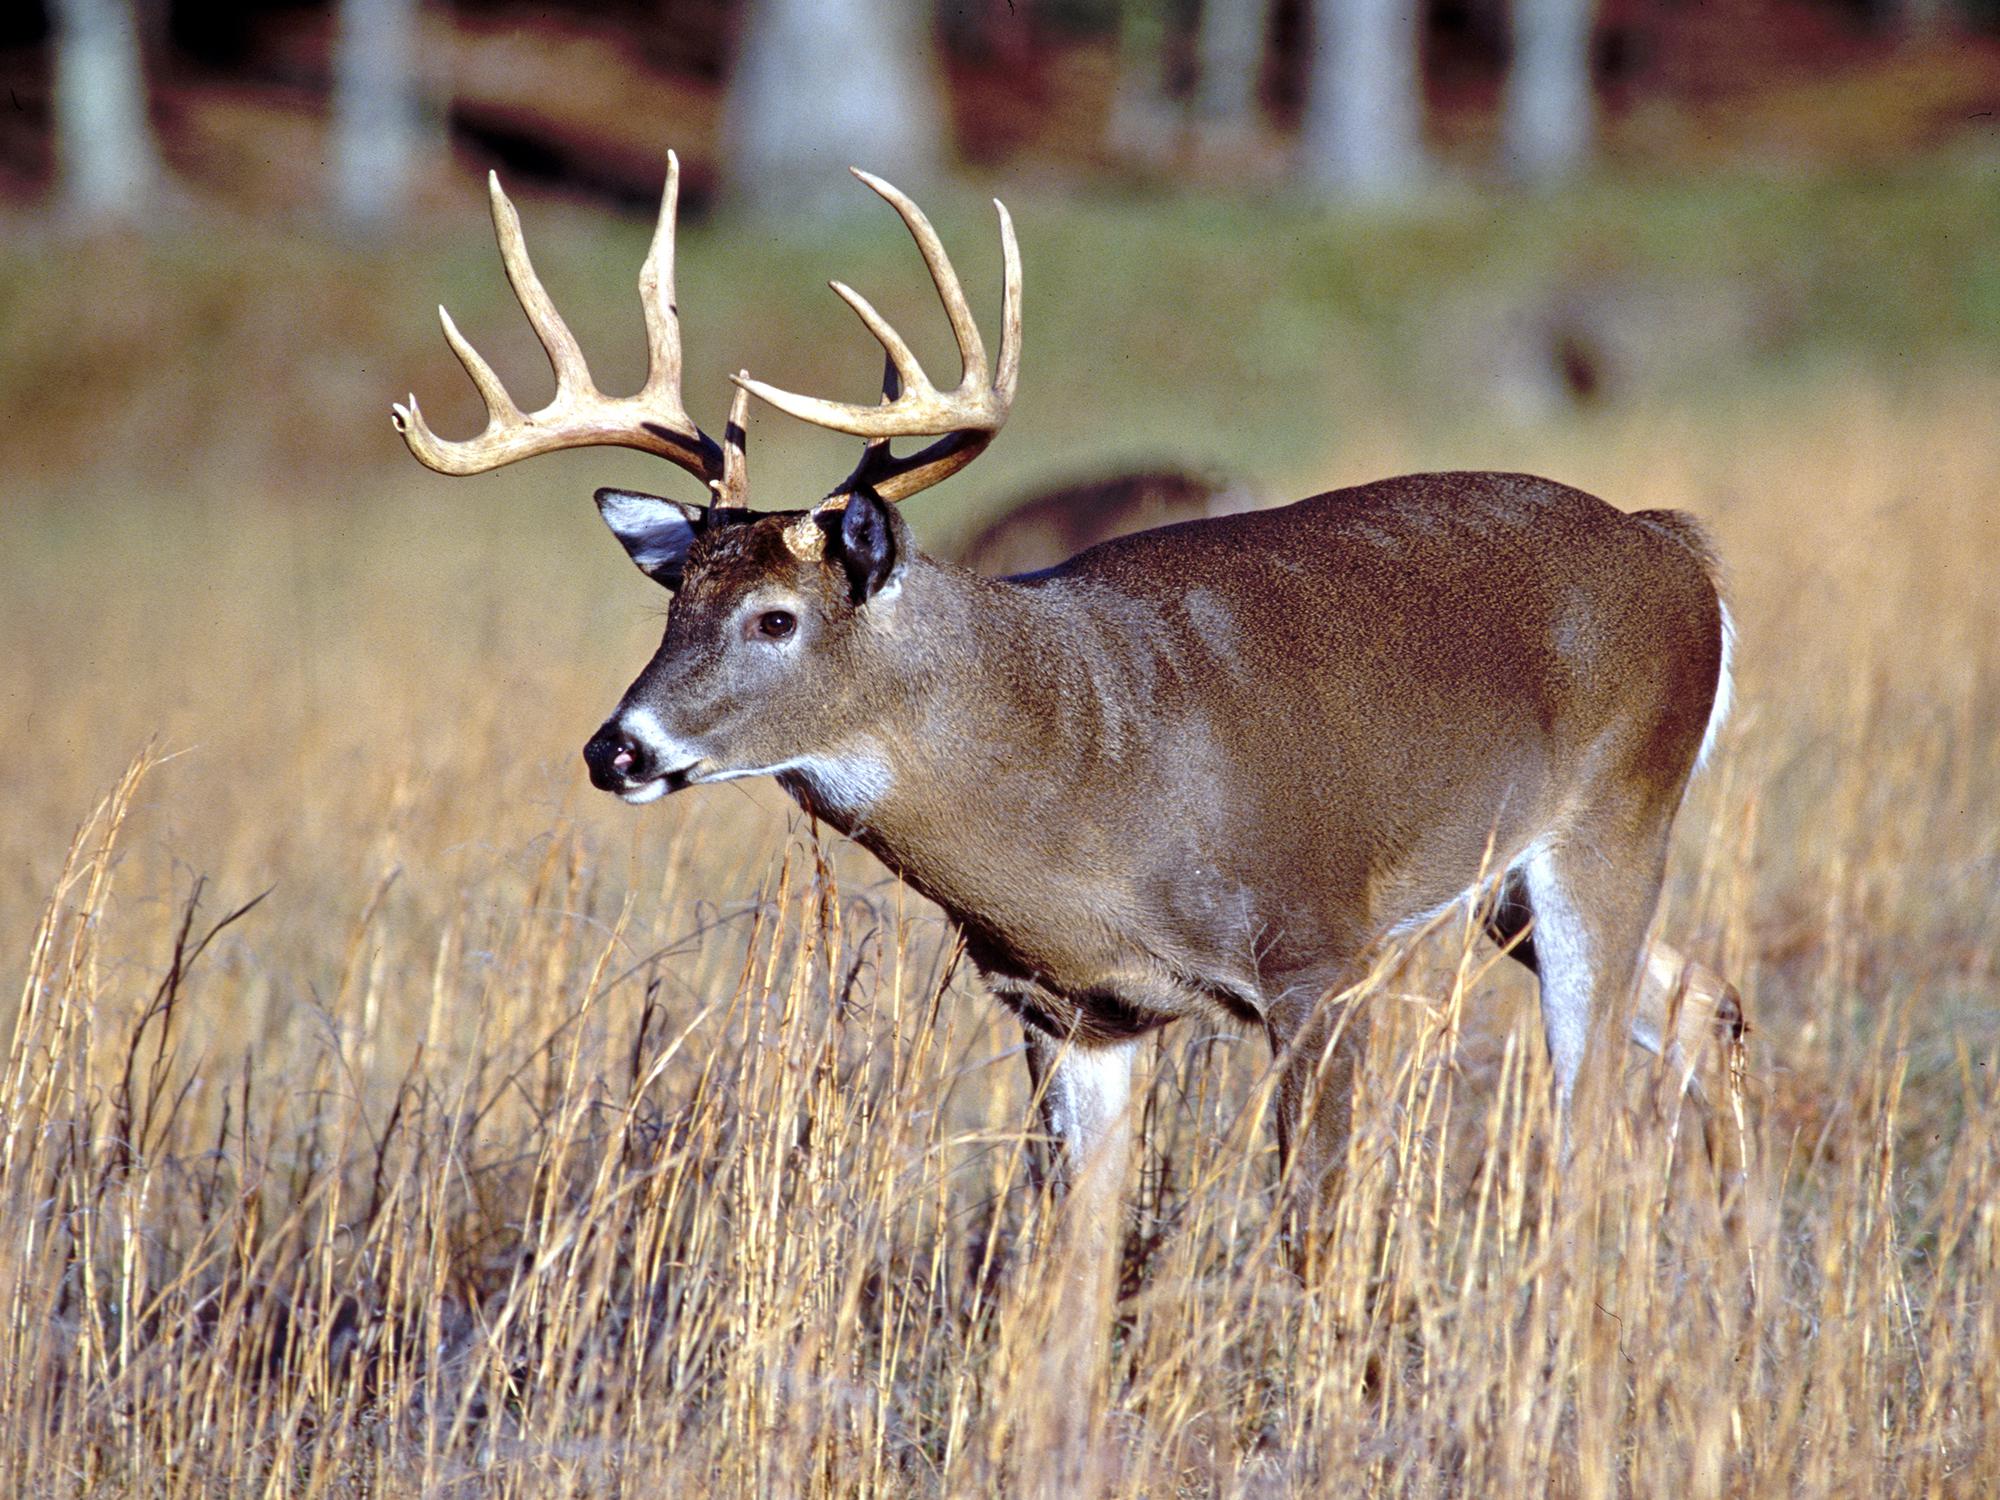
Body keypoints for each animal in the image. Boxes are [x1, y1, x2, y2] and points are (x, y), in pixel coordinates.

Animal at [390, 153, 1736, 1280]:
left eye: (774, 617)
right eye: (673, 604)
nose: (615, 747)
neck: (1084, 776)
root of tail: (1677, 549)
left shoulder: (1317, 950)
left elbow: (1314, 1227)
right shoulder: (1064, 1007)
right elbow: (1074, 1263)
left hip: (1614, 813)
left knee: (1587, 1104)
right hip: (1505, 887)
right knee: (1701, 1004)